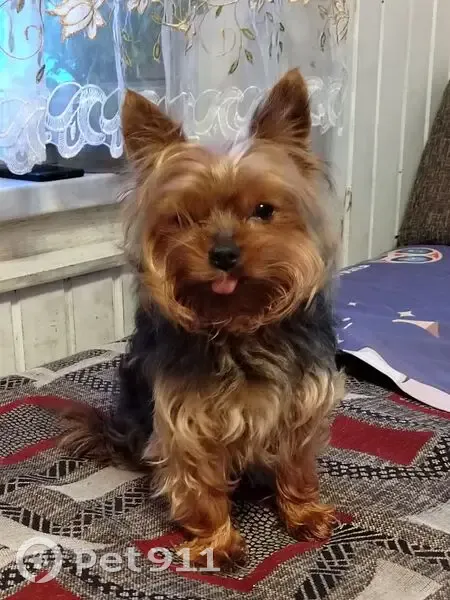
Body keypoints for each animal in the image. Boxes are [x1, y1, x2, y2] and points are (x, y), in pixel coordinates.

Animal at [61, 68, 344, 570]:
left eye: (264, 210)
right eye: (185, 218)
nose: (224, 254)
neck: (238, 324)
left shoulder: (302, 402)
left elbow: (295, 464)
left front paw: (304, 513)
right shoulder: (186, 419)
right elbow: (200, 482)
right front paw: (216, 541)